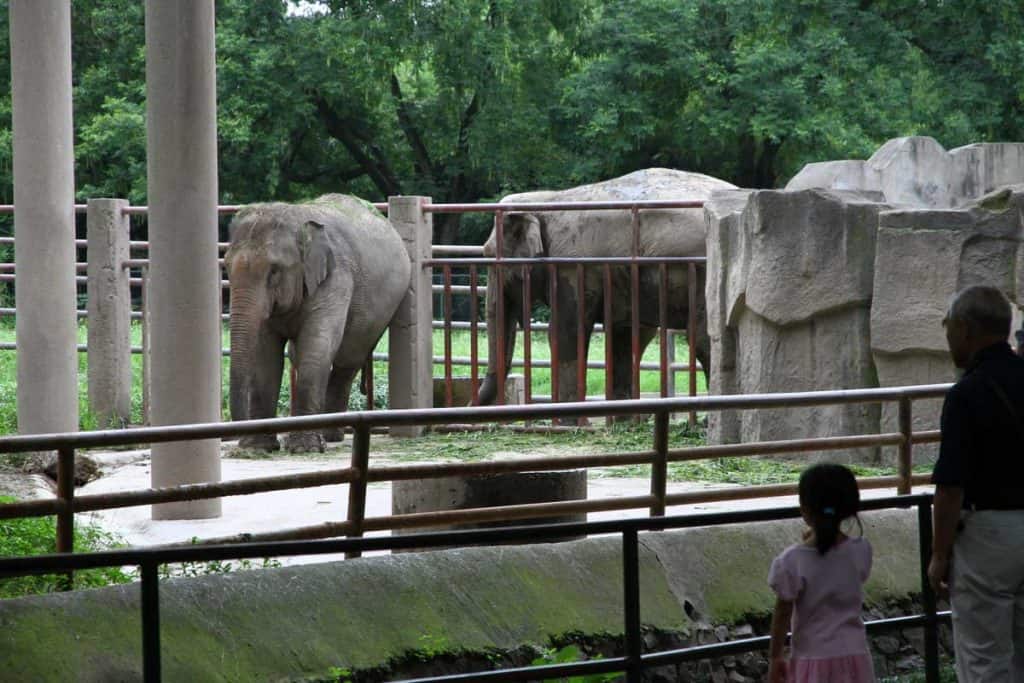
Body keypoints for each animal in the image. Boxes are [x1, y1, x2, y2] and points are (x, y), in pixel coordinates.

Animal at [226, 192, 409, 450]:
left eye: (274, 271)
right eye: (226, 267)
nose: (238, 438)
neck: (296, 218)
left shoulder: (336, 277)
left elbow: (316, 347)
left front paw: (304, 447)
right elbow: (266, 356)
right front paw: (258, 447)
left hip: (379, 312)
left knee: (346, 362)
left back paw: (330, 436)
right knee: (299, 355)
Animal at [477, 168, 737, 409]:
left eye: (489, 255)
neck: (546, 199)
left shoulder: (571, 268)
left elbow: (565, 332)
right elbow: (625, 337)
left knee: (705, 341)